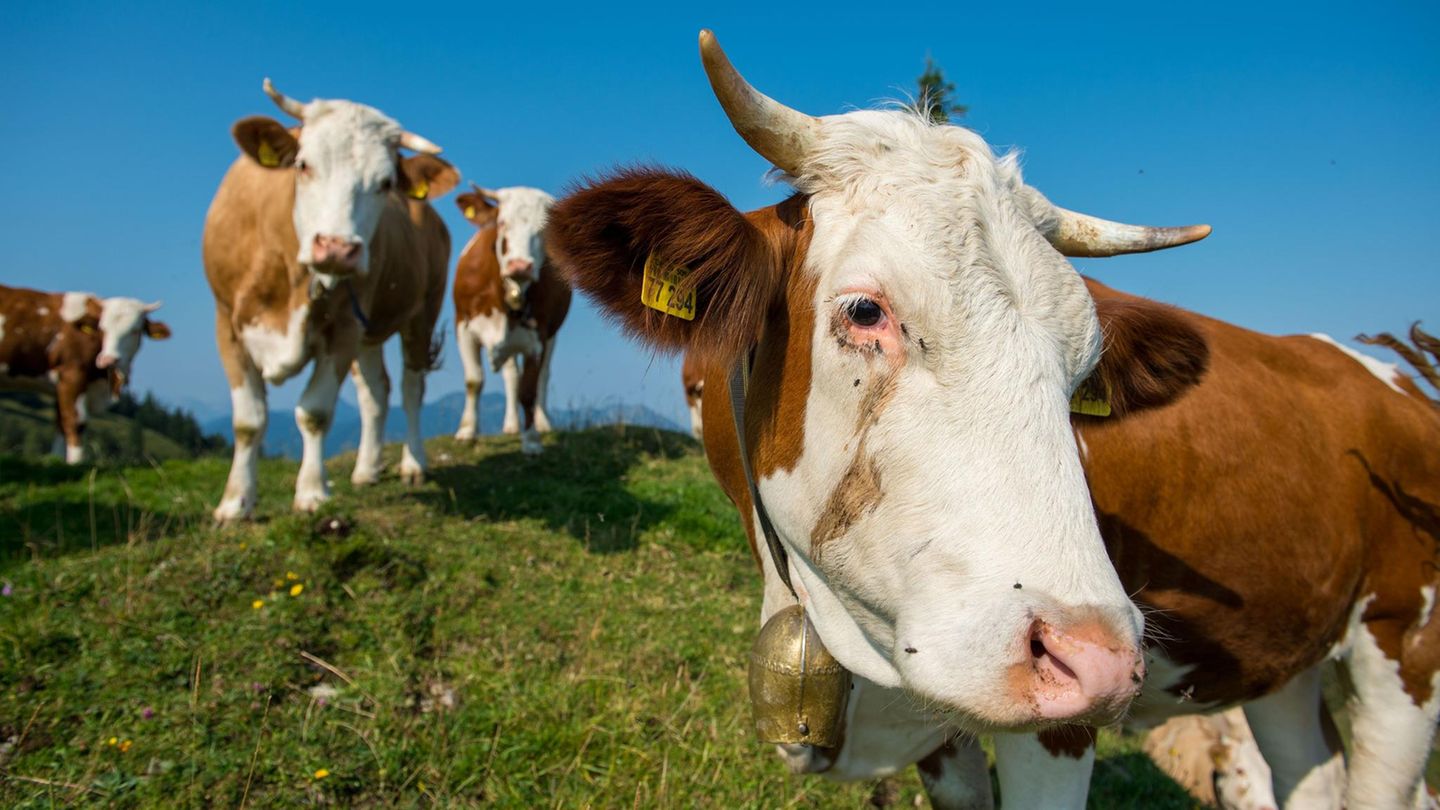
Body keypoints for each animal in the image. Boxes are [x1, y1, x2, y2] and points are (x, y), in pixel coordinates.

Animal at [0, 283, 170, 463]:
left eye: (135, 330)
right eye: (102, 328)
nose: (108, 359)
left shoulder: (61, 387)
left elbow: (60, 424)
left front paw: (57, 461)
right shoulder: (72, 375)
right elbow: (75, 423)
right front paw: (76, 463)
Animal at [203, 80, 457, 521]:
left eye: (385, 182)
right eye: (303, 165)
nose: (338, 248)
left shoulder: (343, 329)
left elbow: (315, 412)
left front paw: (311, 493)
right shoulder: (226, 323)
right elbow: (248, 421)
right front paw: (235, 503)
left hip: (421, 312)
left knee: (410, 387)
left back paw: (413, 464)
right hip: (370, 330)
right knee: (376, 392)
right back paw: (366, 469)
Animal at [451, 185, 571, 454]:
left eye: (544, 230)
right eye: (502, 223)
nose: (520, 265)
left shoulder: (537, 338)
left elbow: (528, 389)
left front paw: (532, 440)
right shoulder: (463, 327)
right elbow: (474, 380)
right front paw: (467, 431)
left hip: (552, 336)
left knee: (543, 377)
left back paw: (542, 423)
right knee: (511, 375)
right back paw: (511, 425)